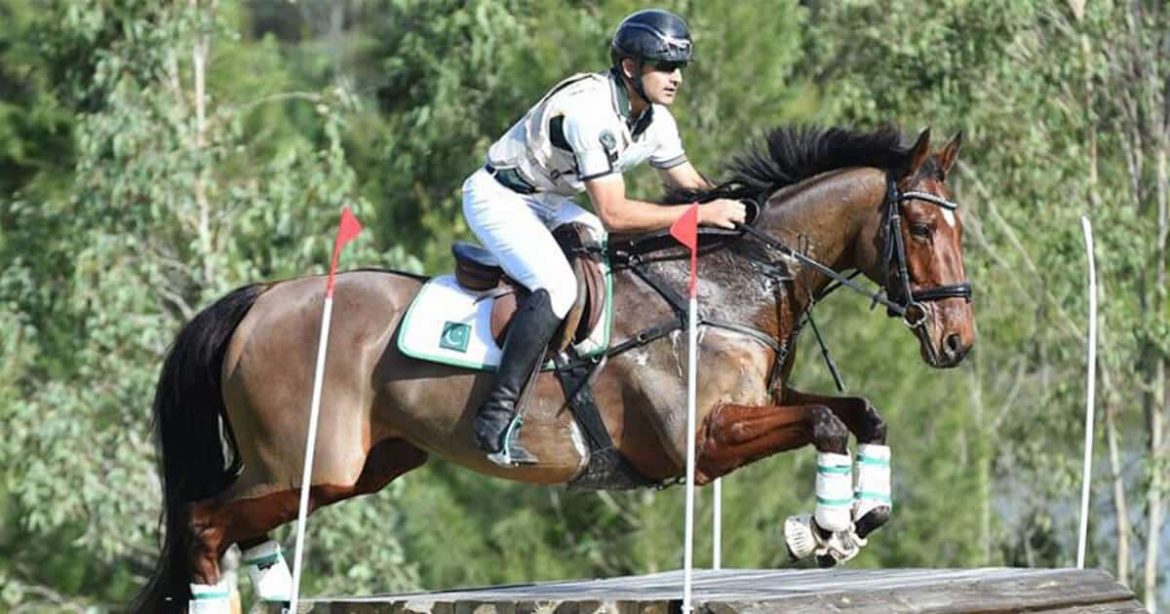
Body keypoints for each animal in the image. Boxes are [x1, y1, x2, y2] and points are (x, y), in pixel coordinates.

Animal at [133, 125, 973, 611]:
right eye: (920, 226)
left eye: (958, 228)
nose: (957, 342)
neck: (728, 281)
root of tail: (264, 299)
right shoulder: (705, 440)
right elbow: (827, 420)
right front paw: (820, 530)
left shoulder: (758, 403)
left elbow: (861, 411)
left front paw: (862, 517)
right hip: (311, 460)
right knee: (204, 521)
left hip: (361, 464)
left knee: (232, 520)